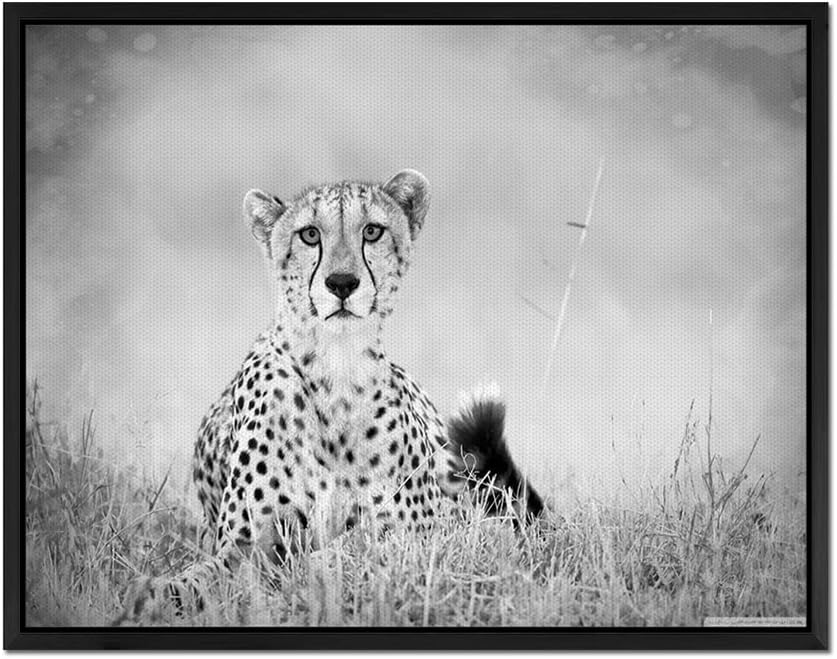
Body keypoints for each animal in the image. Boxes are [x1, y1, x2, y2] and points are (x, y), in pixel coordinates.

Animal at [118, 170, 543, 624]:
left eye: (372, 231)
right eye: (309, 235)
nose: (341, 283)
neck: (337, 368)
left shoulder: (422, 532)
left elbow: (353, 549)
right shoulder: (244, 546)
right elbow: (200, 579)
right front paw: (149, 596)